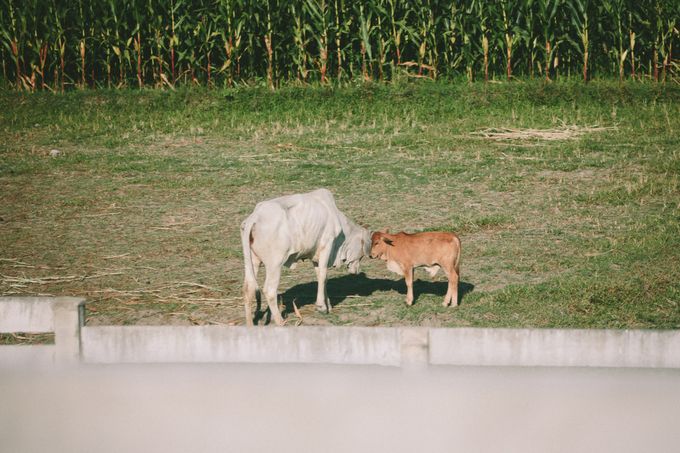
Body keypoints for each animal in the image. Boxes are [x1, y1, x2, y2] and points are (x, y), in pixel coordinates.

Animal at [238, 187, 370, 324]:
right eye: (362, 254)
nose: (357, 270)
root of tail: (255, 217)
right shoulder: (326, 245)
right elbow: (323, 276)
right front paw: (321, 307)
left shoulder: (315, 255)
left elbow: (322, 277)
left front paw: (327, 305)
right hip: (275, 264)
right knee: (269, 290)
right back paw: (280, 322)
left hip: (253, 261)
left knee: (248, 289)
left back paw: (250, 324)